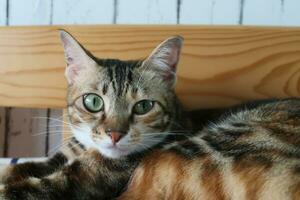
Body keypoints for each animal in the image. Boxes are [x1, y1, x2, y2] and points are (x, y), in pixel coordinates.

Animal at [0, 30, 300, 199]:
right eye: (93, 101)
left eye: (143, 106)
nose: (115, 134)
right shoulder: (58, 158)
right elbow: (19, 167)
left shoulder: (81, 180)